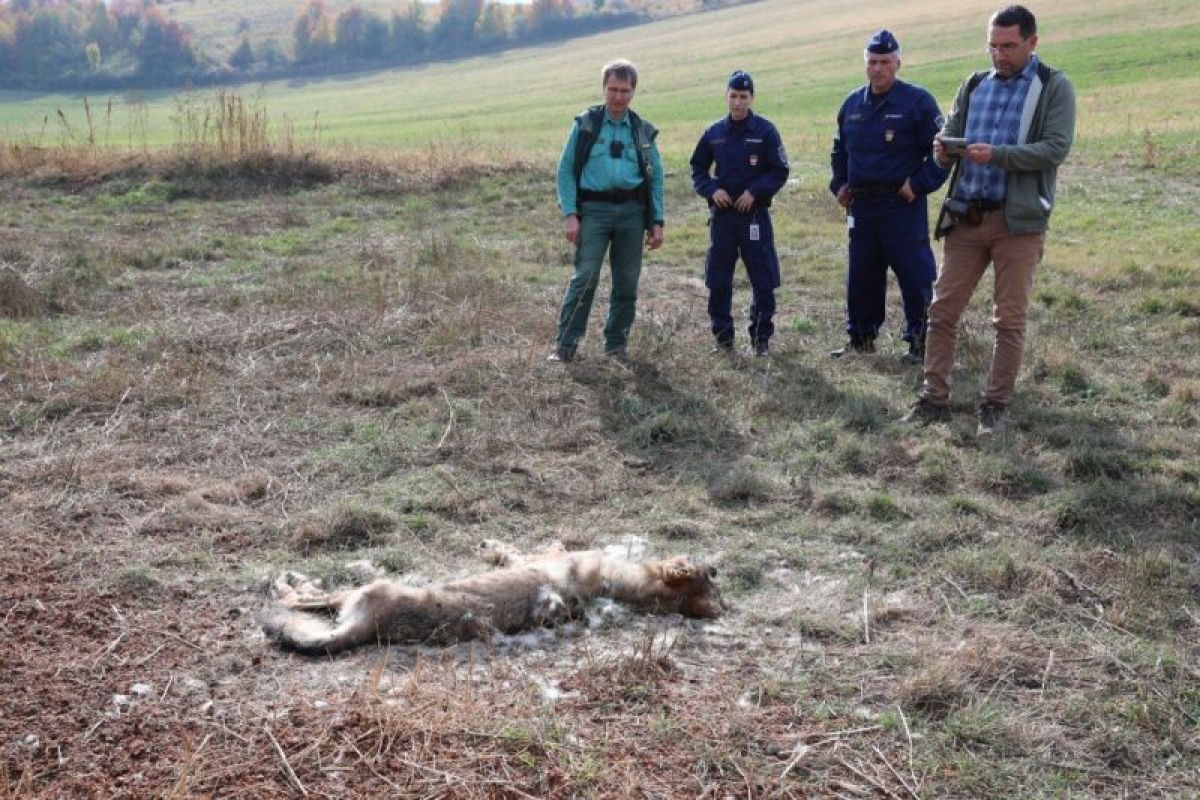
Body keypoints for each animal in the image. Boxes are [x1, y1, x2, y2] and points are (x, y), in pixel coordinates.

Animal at [262, 540, 724, 655]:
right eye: (713, 580)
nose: (718, 566)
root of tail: (369, 629)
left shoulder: (543, 556)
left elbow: (511, 550)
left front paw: (491, 547)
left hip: (355, 592)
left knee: (298, 599)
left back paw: (285, 582)